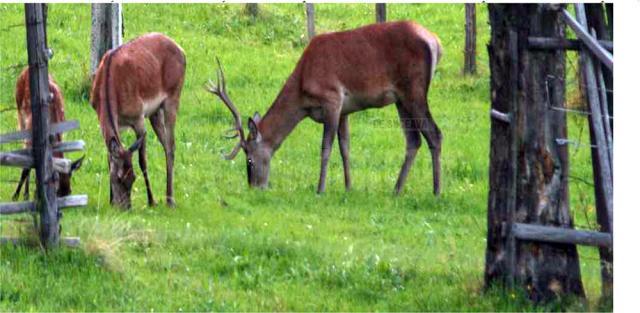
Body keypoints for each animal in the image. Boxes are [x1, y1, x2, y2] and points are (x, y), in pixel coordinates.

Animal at [12, 67, 83, 201]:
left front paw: (36, 193)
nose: (66, 191)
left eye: (69, 192)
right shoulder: (30, 134)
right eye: (57, 192)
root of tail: (25, 69)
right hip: (20, 114)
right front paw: (16, 195)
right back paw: (25, 194)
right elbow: (26, 167)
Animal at [92, 33, 188, 208]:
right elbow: (109, 157)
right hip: (155, 112)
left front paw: (152, 201)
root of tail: (182, 50)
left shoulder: (138, 117)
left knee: (171, 146)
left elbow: (142, 161)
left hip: (173, 97)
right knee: (166, 145)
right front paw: (110, 200)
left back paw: (170, 199)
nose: (125, 207)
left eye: (133, 177)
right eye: (118, 178)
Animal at [208, 20, 442, 194]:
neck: (303, 91)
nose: (255, 187)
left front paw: (320, 189)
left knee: (435, 134)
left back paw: (436, 191)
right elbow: (345, 147)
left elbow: (326, 147)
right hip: (400, 99)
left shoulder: (332, 98)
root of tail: (435, 41)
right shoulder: (345, 110)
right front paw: (348, 187)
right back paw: (396, 190)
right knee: (414, 140)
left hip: (414, 89)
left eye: (249, 159)